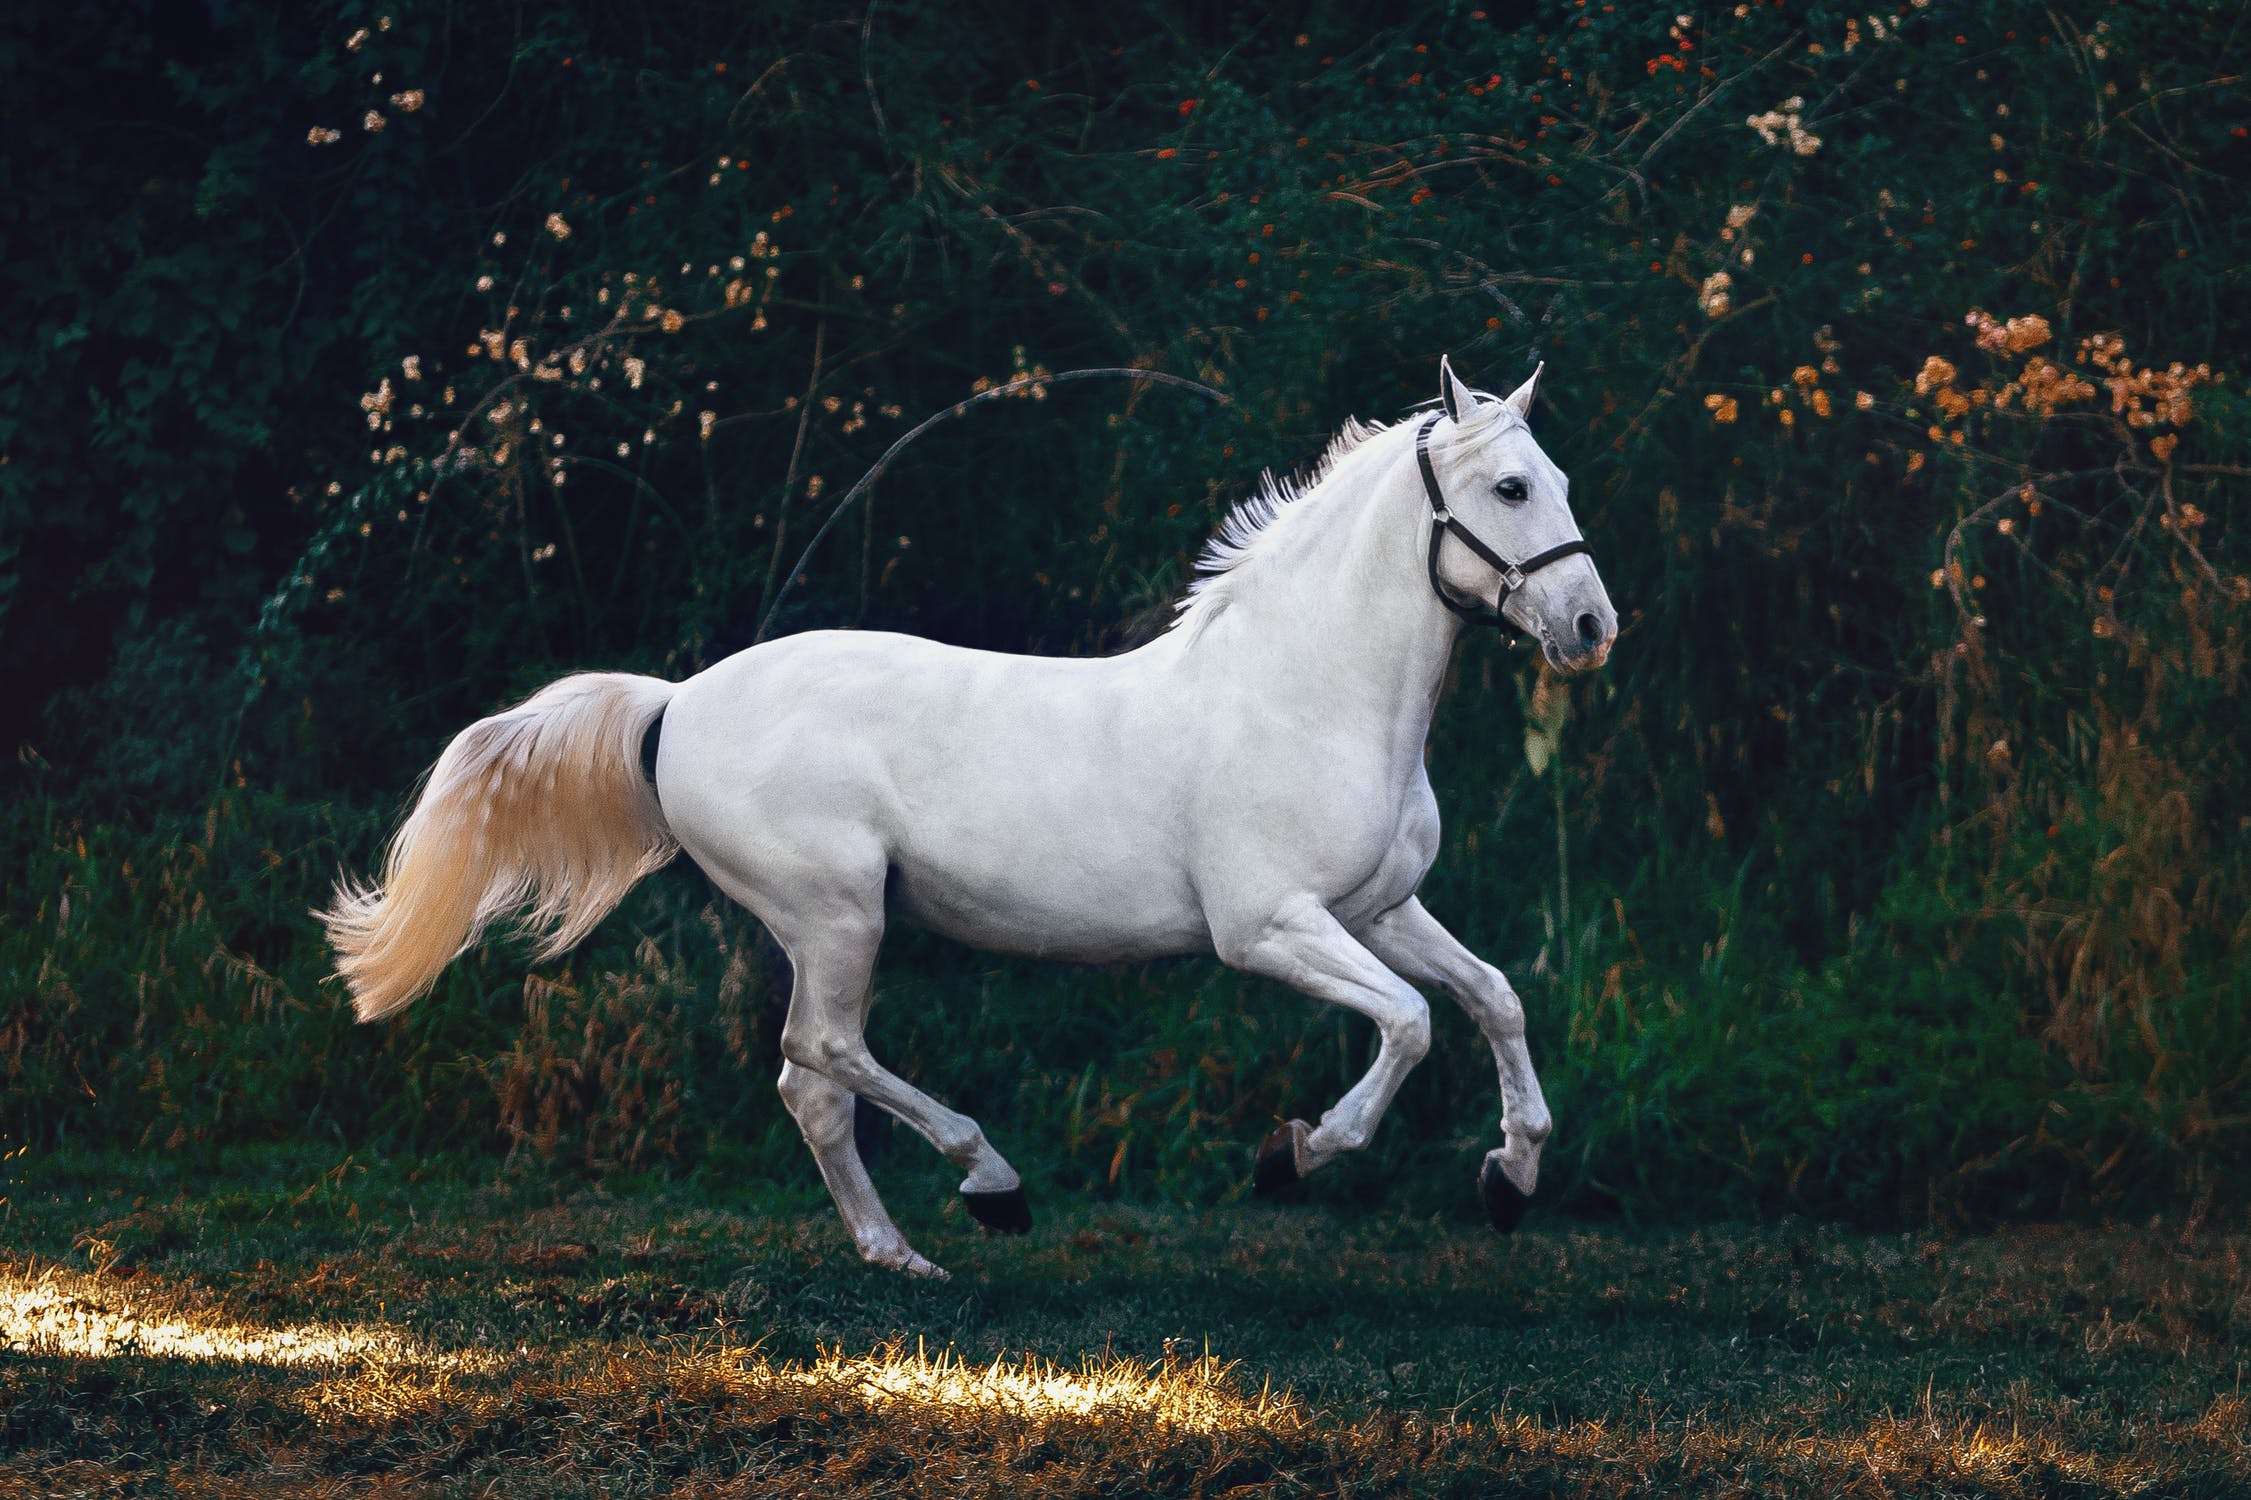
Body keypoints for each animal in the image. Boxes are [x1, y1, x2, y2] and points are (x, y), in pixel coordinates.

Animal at [321, 353, 1620, 1270]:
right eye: (1510, 486)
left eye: (1561, 482)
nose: (1590, 627)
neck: (1306, 693)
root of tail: (675, 703)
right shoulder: (1269, 929)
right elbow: (1408, 1023)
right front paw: (1293, 1156)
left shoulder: (1379, 908)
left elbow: (1492, 998)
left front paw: (1510, 1178)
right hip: (837, 914)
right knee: (823, 1055)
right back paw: (988, 1186)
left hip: (831, 926)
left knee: (810, 1085)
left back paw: (899, 1254)